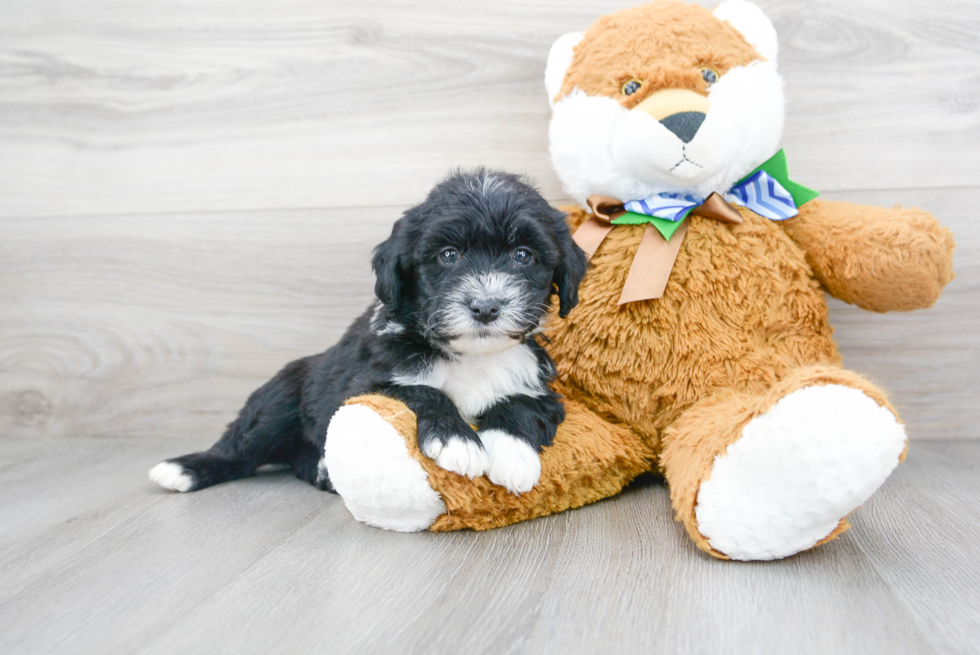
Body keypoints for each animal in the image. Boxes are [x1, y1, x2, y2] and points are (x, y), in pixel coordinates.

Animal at [149, 169, 584, 498]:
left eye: (523, 256)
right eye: (449, 255)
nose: (485, 307)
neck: (469, 355)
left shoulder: (540, 386)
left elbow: (522, 404)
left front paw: (512, 454)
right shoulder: (365, 382)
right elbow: (422, 390)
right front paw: (458, 440)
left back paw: (323, 468)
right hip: (282, 395)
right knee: (243, 444)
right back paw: (186, 469)